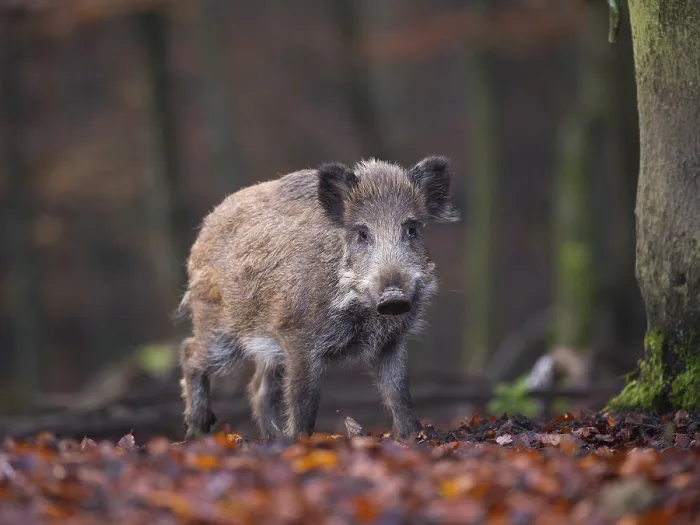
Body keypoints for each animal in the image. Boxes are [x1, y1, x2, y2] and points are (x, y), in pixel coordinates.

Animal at [177, 155, 460, 441]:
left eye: (412, 229)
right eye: (362, 233)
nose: (393, 297)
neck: (361, 313)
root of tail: (205, 228)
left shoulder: (391, 342)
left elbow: (399, 392)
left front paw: (413, 436)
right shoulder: (297, 335)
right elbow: (304, 399)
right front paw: (300, 440)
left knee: (258, 387)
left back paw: (271, 438)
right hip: (219, 325)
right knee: (190, 352)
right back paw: (197, 432)